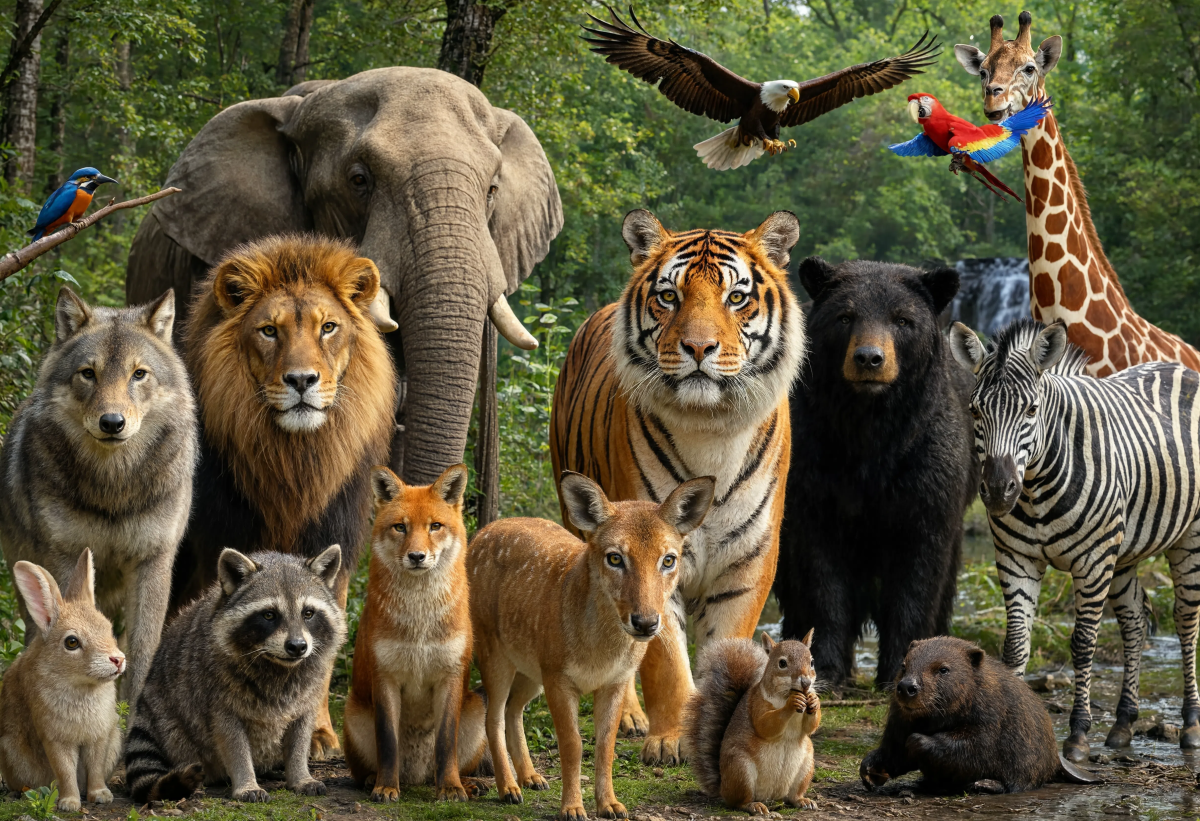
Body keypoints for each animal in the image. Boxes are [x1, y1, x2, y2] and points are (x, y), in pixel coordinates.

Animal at [550, 209, 806, 766]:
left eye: (737, 297)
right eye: (669, 296)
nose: (698, 348)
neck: (711, 428)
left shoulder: (747, 561)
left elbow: (725, 645)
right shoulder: (648, 554)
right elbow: (664, 657)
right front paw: (669, 739)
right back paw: (627, 716)